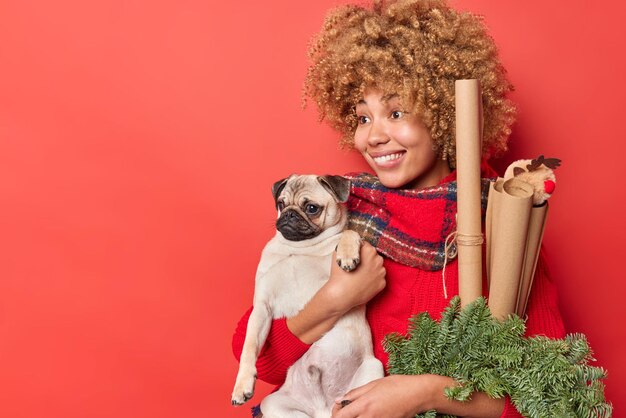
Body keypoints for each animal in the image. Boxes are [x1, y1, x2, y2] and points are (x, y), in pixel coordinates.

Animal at [230, 174, 382, 418]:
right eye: (281, 204)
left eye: (311, 208)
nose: (289, 214)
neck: (300, 248)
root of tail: (323, 409)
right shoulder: (262, 309)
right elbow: (249, 347)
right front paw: (242, 385)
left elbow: (349, 233)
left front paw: (347, 255)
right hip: (273, 404)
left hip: (373, 370)